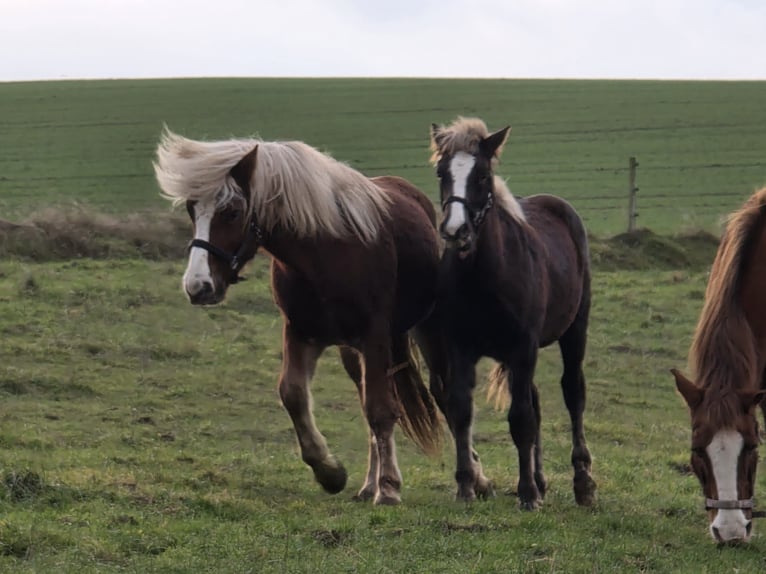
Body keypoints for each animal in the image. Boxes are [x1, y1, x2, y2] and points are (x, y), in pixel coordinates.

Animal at [153, 129, 446, 505]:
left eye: (232, 212)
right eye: (192, 210)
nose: (197, 286)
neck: (325, 257)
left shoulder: (375, 336)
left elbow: (382, 409)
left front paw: (390, 487)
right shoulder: (300, 333)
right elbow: (293, 394)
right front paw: (330, 472)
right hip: (352, 352)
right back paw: (369, 484)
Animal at [429, 117, 597, 509]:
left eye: (482, 176)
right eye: (442, 172)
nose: (455, 231)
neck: (485, 276)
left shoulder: (522, 347)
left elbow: (521, 418)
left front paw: (527, 495)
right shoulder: (459, 347)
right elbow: (461, 410)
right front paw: (466, 486)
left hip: (573, 330)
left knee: (572, 392)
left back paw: (581, 481)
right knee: (534, 400)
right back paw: (540, 478)